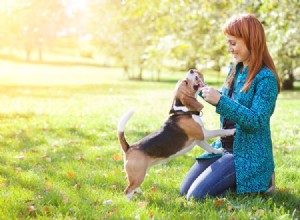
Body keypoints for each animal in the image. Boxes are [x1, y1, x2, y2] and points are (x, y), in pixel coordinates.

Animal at [116, 69, 234, 200]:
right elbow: (218, 131)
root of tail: (129, 147)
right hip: (138, 174)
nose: (191, 70)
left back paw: (139, 192)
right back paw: (131, 201)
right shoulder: (203, 133)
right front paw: (231, 131)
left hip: (139, 173)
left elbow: (209, 147)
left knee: (130, 182)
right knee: (127, 190)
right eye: (186, 82)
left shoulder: (199, 139)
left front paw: (217, 151)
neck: (184, 110)